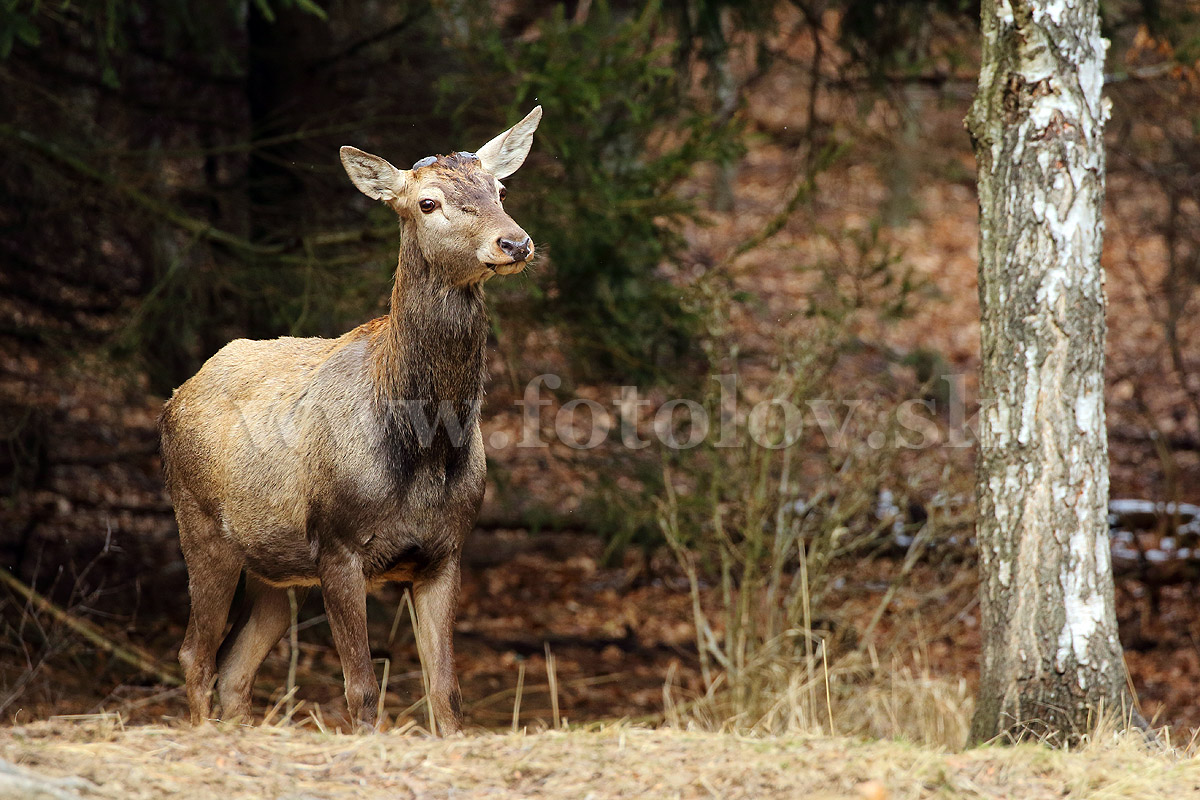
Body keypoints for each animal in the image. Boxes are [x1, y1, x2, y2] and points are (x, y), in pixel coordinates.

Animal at [157, 107, 542, 738]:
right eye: (428, 202)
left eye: (500, 189)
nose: (514, 241)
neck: (426, 450)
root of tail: (172, 400)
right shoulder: (338, 544)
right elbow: (360, 690)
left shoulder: (446, 551)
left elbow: (447, 692)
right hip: (203, 528)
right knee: (196, 654)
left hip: (275, 568)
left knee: (235, 668)